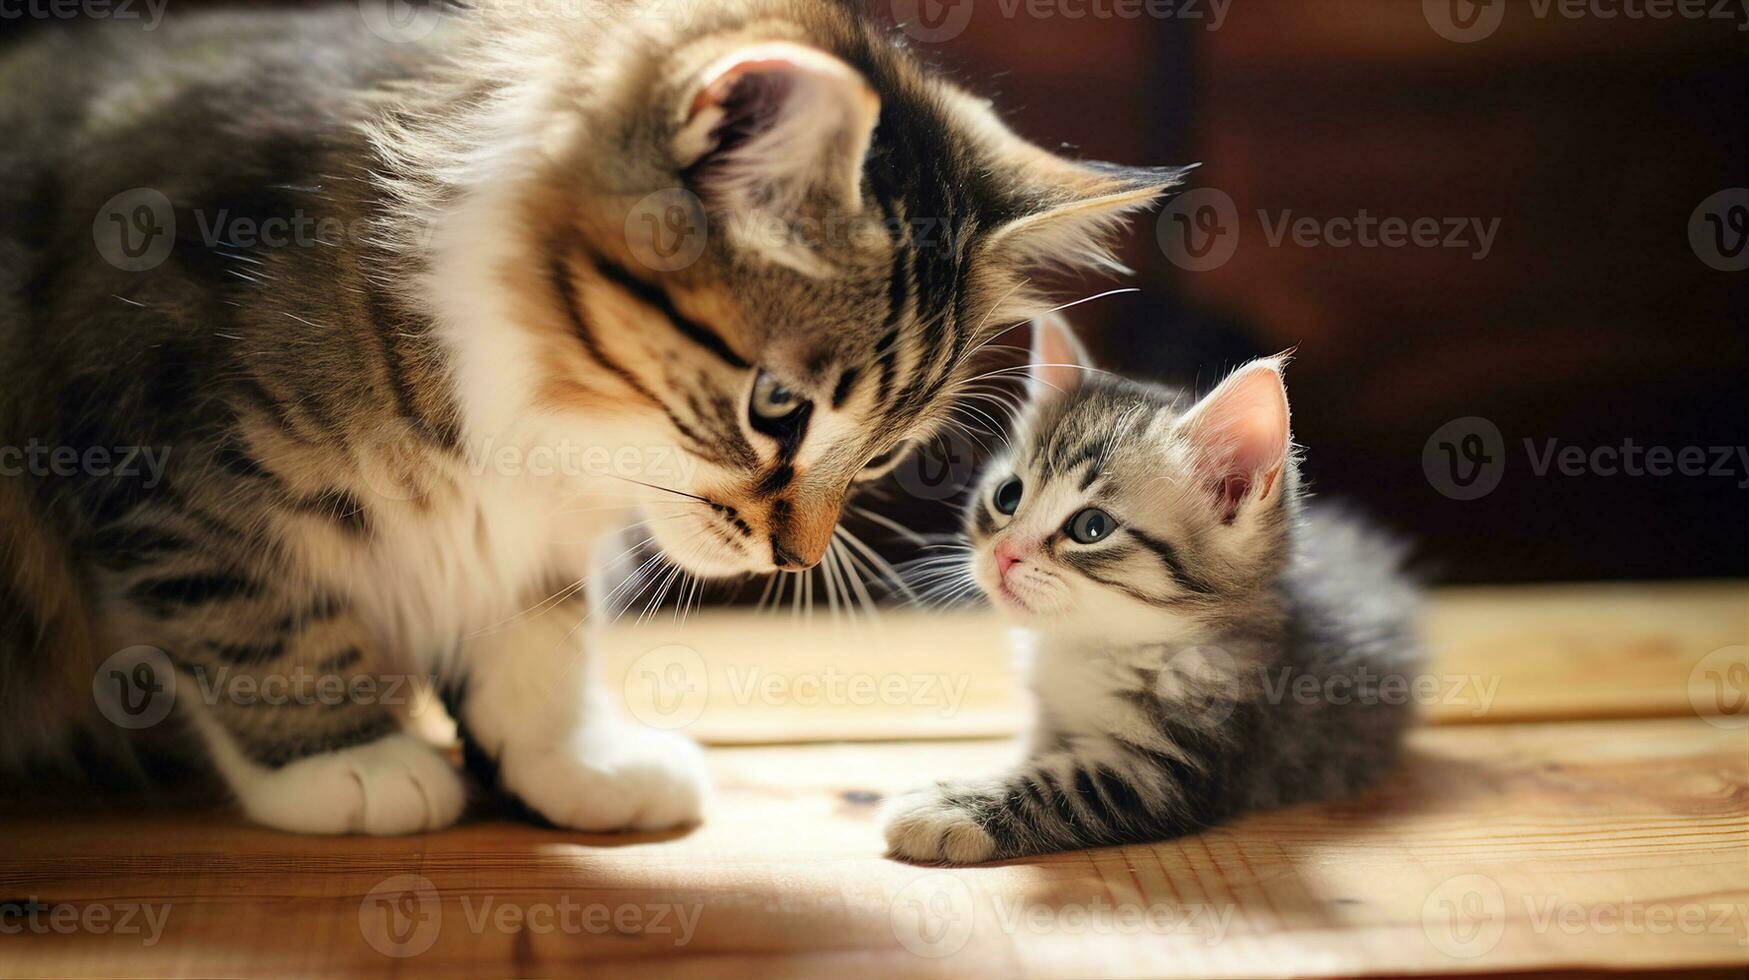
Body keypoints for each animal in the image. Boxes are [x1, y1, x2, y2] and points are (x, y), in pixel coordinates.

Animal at [0, 3, 1182, 840]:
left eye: (885, 446)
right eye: (778, 409)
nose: (794, 559)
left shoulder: (537, 539)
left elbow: (538, 640)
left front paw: (571, 763)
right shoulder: (165, 463)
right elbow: (259, 618)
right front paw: (349, 759)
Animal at [888, 318, 1420, 861]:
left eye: (1092, 528)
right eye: (1008, 496)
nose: (1004, 554)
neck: (1094, 646)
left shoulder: (1173, 769)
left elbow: (1065, 789)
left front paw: (948, 809)